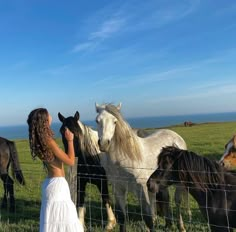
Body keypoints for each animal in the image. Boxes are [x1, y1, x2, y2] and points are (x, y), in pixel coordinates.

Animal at [95, 103, 190, 232]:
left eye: (115, 121)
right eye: (97, 121)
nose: (104, 144)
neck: (124, 158)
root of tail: (177, 137)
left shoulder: (141, 188)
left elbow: (147, 218)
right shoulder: (118, 188)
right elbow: (122, 216)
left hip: (179, 183)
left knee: (178, 201)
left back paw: (181, 227)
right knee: (165, 198)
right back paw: (168, 224)